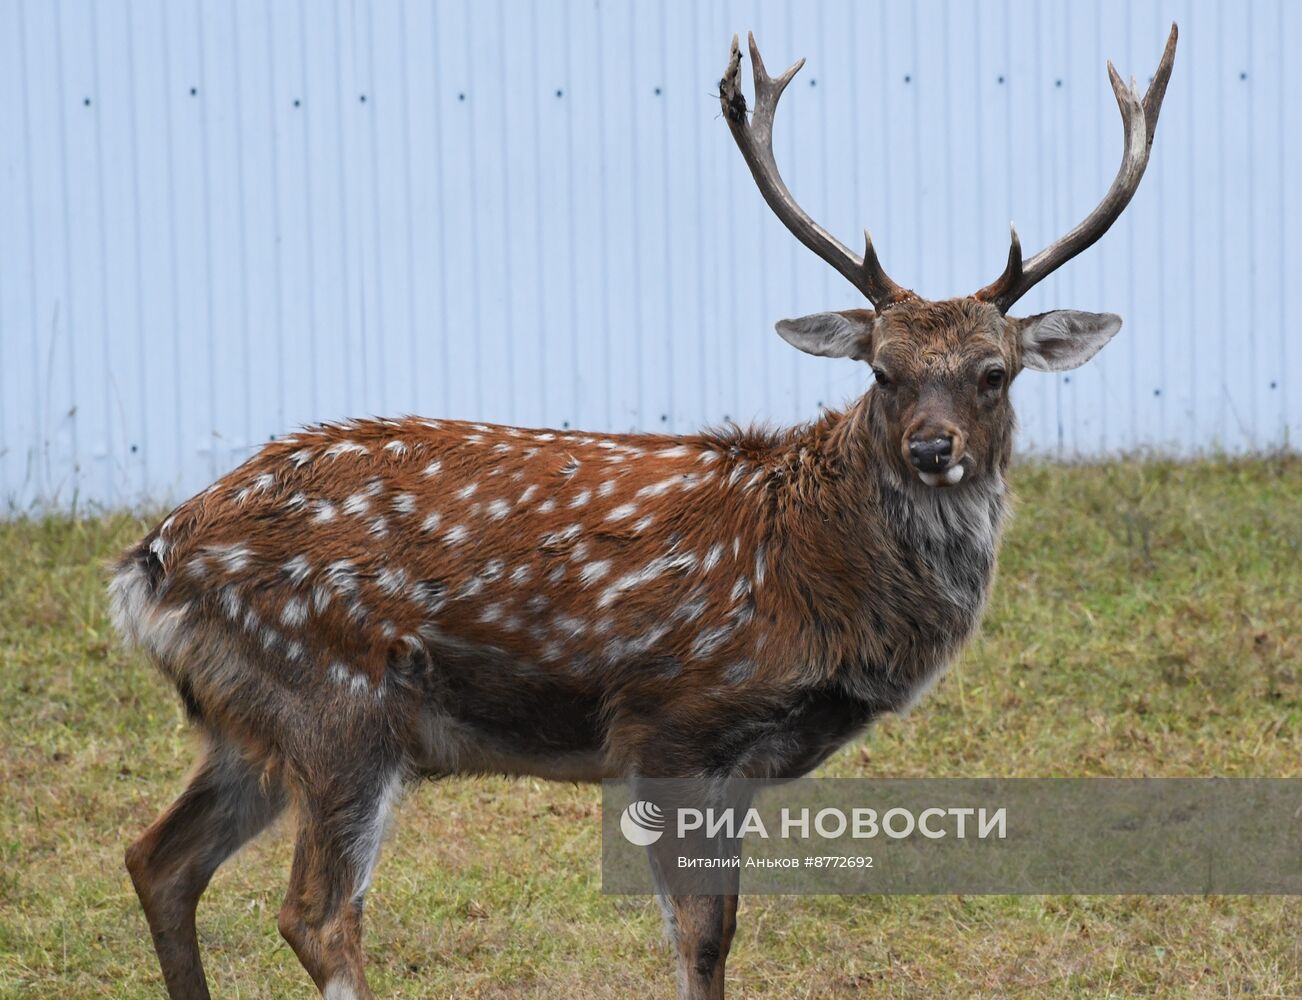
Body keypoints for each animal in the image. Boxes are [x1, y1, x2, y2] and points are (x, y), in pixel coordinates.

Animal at [109, 27, 1171, 1000]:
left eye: (994, 372)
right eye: (882, 371)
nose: (931, 449)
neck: (819, 578)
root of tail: (150, 564)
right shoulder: (674, 719)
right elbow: (700, 935)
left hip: (249, 722)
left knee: (158, 859)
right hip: (334, 701)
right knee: (315, 914)